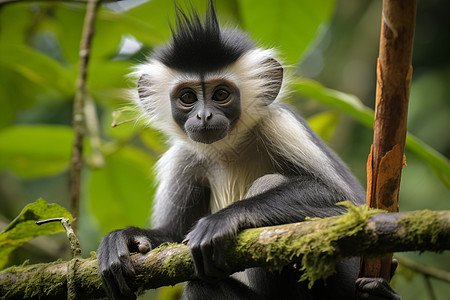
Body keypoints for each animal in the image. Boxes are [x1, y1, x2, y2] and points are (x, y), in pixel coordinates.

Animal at [97, 2, 400, 300]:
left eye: (221, 94)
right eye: (187, 97)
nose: (204, 116)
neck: (229, 148)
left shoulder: (281, 125)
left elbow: (349, 206)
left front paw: (223, 219)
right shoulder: (183, 157)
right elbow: (172, 233)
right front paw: (127, 238)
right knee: (200, 285)